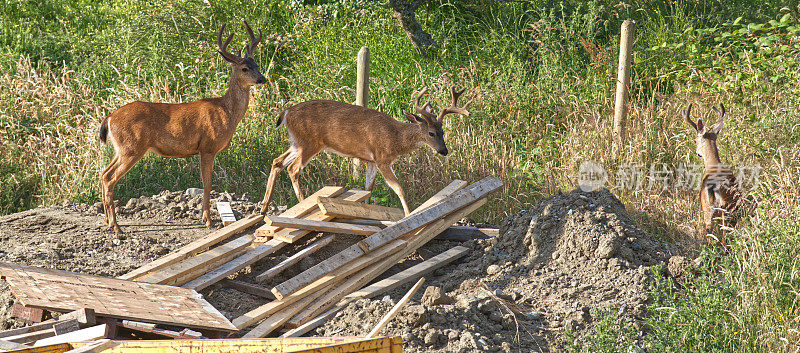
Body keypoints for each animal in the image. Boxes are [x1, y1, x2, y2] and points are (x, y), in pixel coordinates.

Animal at [98, 20, 268, 232]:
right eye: (244, 68)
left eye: (256, 65)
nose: (262, 79)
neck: (226, 112)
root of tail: (109, 118)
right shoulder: (208, 146)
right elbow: (207, 184)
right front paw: (208, 220)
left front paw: (205, 217)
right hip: (131, 146)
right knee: (109, 177)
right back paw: (116, 226)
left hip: (121, 148)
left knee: (103, 172)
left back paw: (107, 220)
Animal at [260, 85, 472, 214]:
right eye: (430, 133)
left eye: (442, 131)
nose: (444, 151)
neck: (395, 137)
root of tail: (286, 112)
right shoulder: (382, 157)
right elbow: (398, 188)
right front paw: (408, 213)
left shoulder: (371, 161)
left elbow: (368, 188)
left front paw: (370, 212)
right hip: (309, 142)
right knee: (292, 168)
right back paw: (302, 203)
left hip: (296, 142)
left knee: (277, 161)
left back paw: (263, 208)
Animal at [684, 101, 740, 239]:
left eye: (695, 140)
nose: (696, 152)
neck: (713, 165)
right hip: (722, 207)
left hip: (709, 207)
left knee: (711, 231)